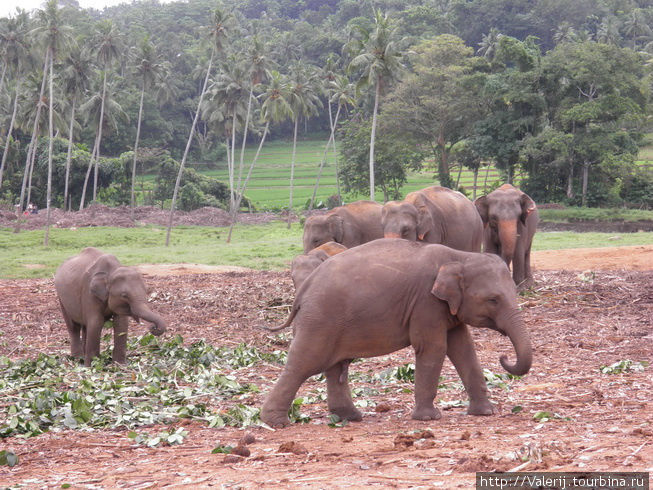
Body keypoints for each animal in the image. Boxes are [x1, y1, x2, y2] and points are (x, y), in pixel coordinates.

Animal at [260, 239, 528, 426]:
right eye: (493, 300)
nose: (504, 357)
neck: (459, 256)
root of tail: (303, 291)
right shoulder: (426, 303)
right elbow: (434, 348)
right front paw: (428, 418)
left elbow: (463, 348)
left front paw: (485, 413)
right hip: (319, 320)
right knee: (305, 363)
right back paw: (276, 422)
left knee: (335, 366)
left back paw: (351, 417)